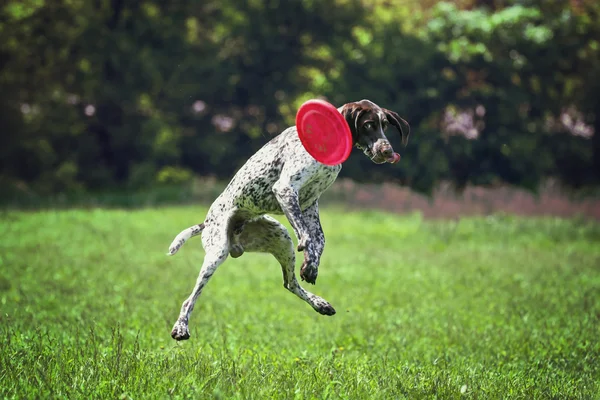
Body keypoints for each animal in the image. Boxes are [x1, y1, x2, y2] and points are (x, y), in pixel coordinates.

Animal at [166, 98, 410, 340]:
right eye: (368, 125)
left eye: (385, 125)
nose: (388, 151)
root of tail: (207, 222)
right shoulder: (285, 190)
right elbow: (308, 237)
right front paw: (309, 260)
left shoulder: (310, 203)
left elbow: (319, 240)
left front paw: (311, 266)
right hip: (217, 252)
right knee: (190, 299)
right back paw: (181, 327)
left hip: (281, 239)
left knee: (290, 283)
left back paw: (319, 303)